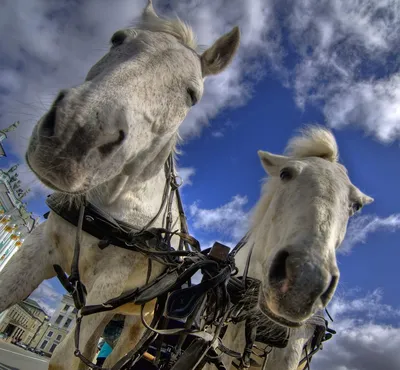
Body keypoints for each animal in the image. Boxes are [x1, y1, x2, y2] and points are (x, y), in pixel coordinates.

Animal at [0, 1, 241, 368]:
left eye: (192, 95)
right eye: (117, 39)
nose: (75, 134)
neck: (112, 205)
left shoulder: (109, 285)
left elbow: (63, 360)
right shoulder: (38, 248)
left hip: (139, 324)